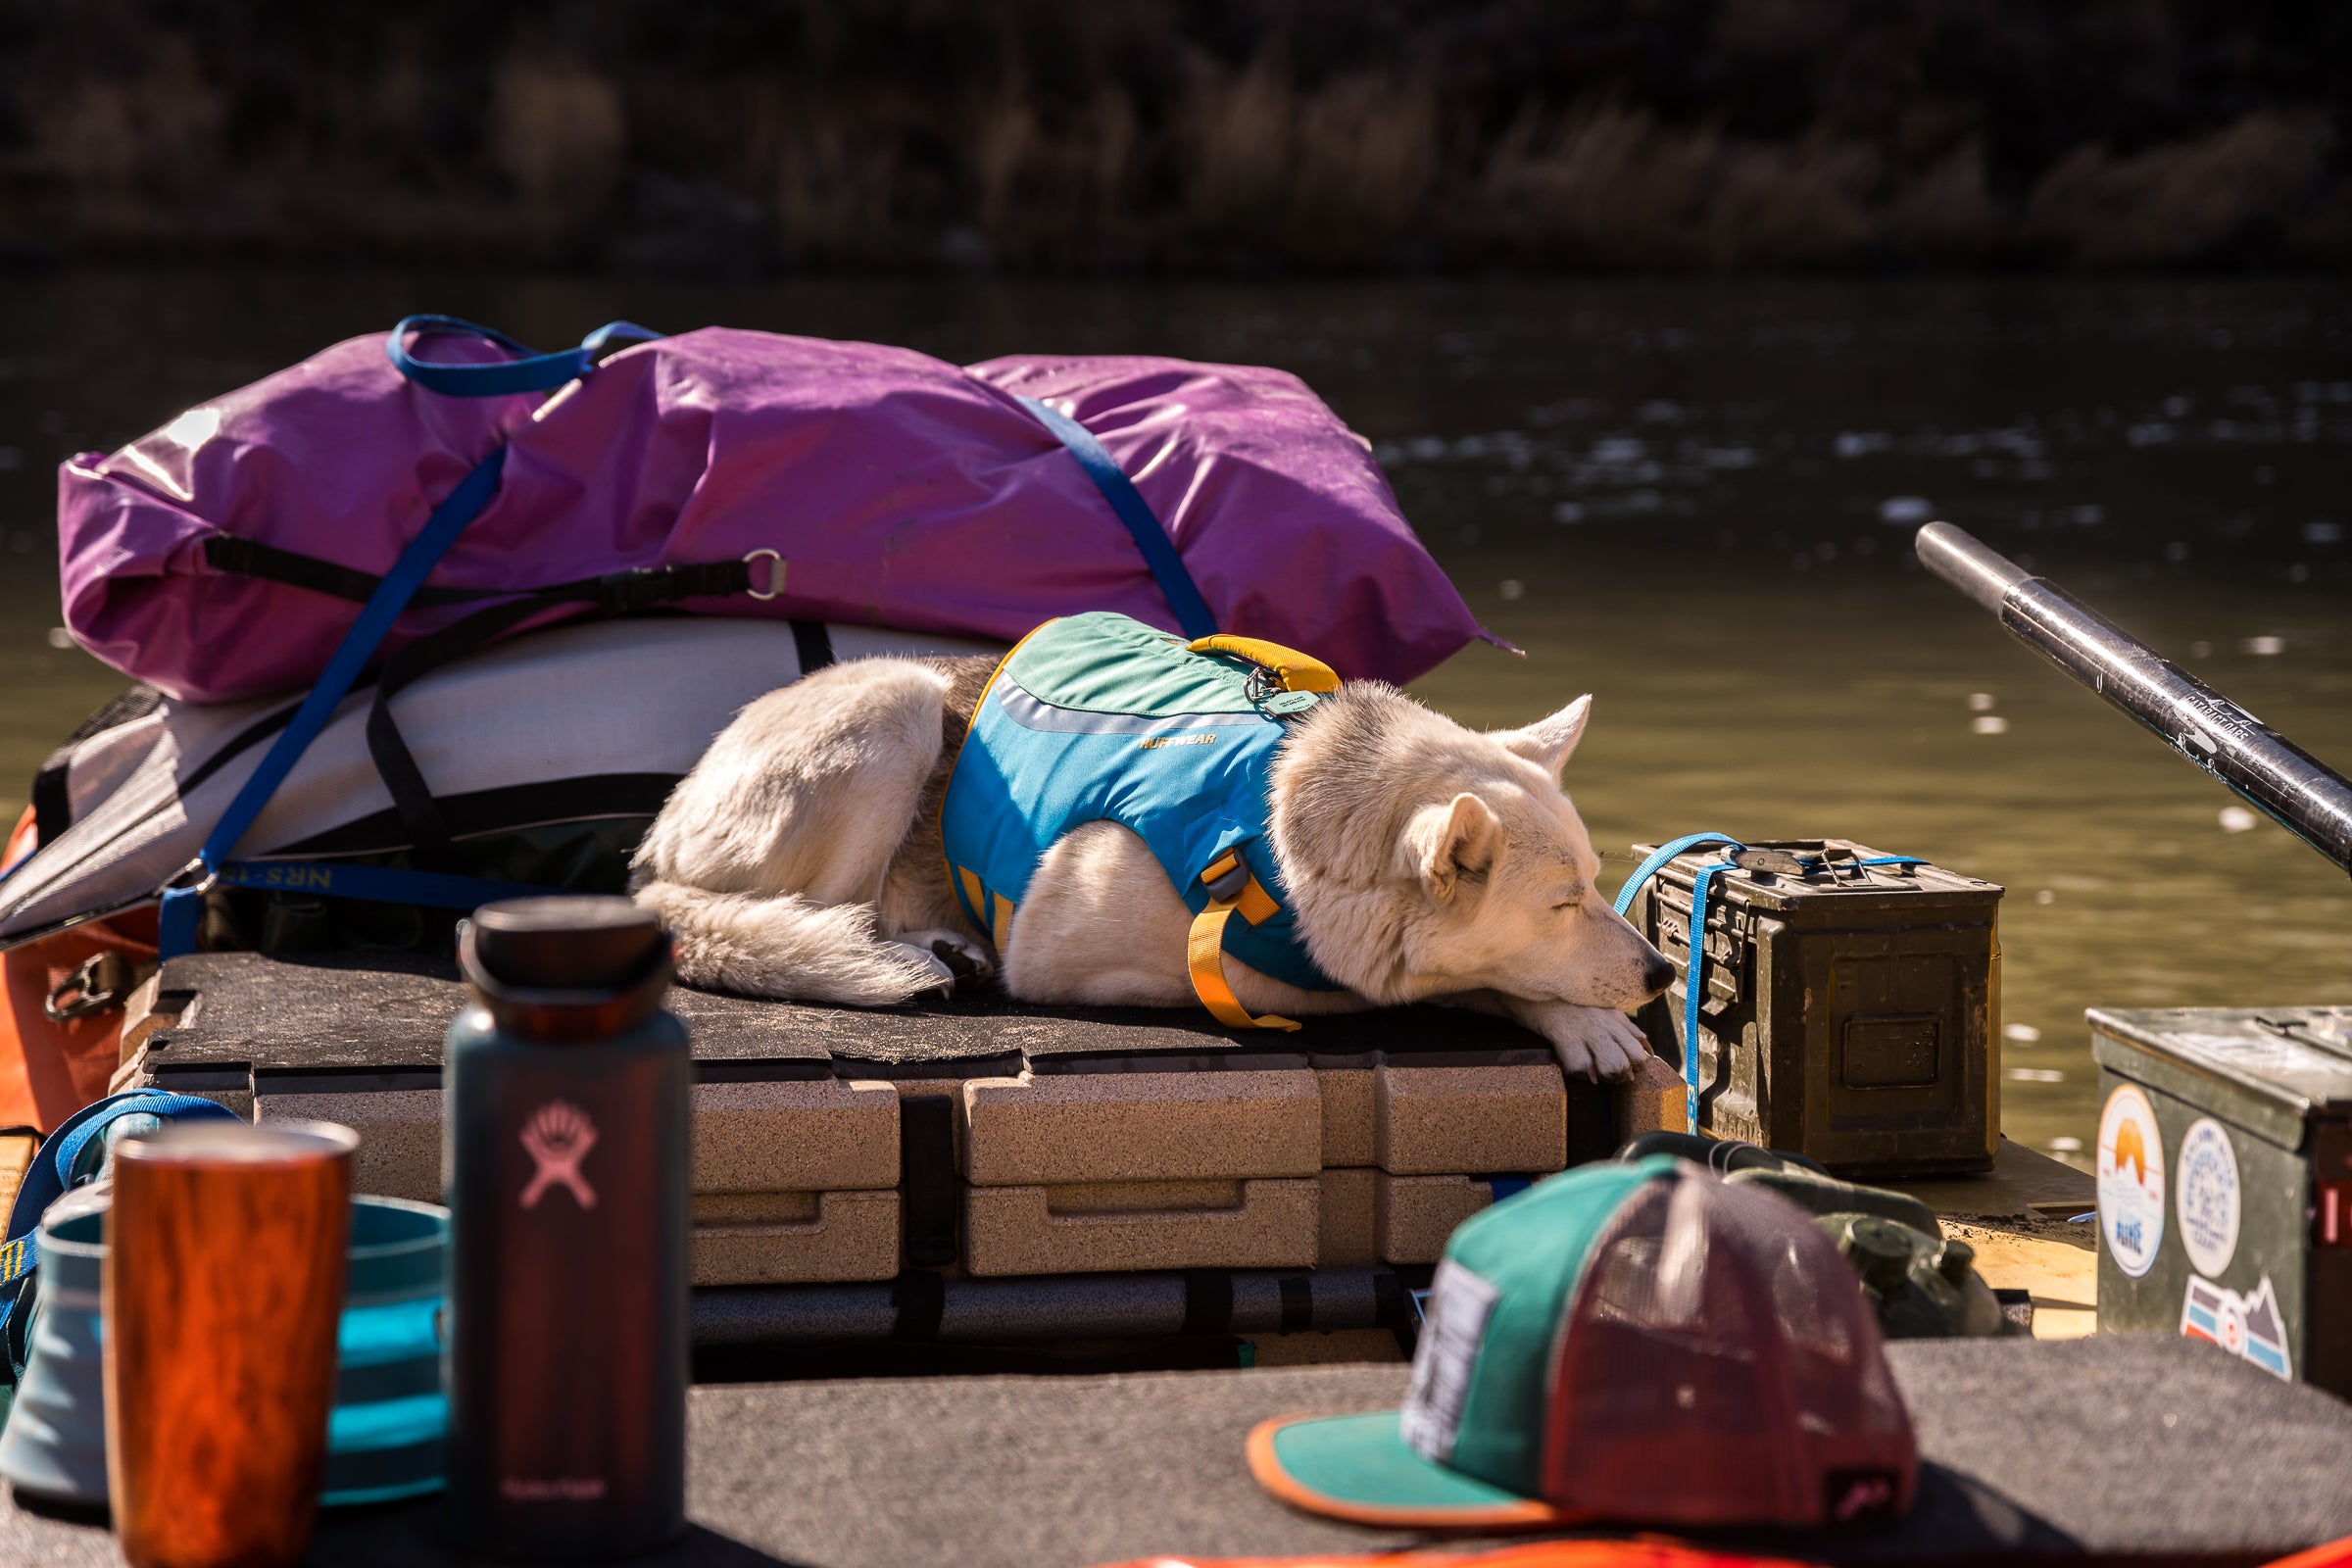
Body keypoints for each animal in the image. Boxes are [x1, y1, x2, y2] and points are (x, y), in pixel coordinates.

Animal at [635, 620, 1684, 1086]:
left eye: (1596, 888)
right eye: (1560, 904)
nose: (1662, 972)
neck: (1284, 820)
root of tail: (656, 837)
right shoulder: (1093, 958)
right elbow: (1438, 981)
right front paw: (1572, 1015)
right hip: (891, 710)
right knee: (817, 913)